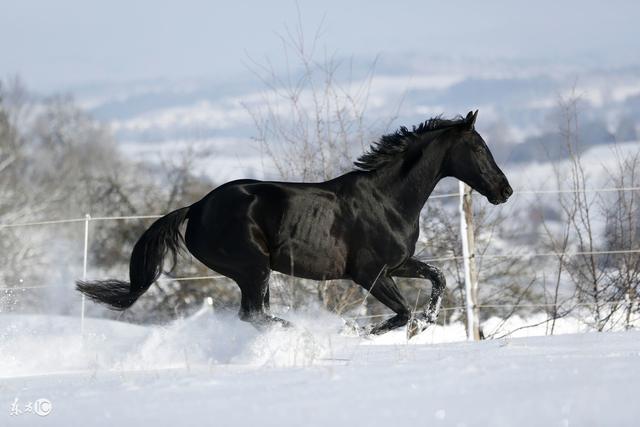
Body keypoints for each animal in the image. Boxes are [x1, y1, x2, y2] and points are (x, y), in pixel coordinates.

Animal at [77, 110, 512, 338]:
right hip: (253, 268)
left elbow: (438, 278)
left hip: (255, 272)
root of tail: (198, 207)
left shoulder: (397, 264)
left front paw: (429, 320)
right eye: (478, 147)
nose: (505, 190)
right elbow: (403, 312)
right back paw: (297, 329)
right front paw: (357, 331)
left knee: (254, 316)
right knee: (254, 316)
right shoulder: (369, 273)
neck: (386, 199)